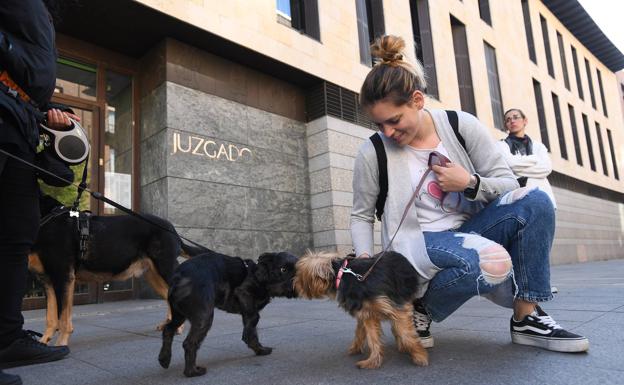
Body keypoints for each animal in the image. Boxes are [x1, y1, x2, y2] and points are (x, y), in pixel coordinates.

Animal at [28, 195, 205, 344]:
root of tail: (172, 229)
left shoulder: (63, 276)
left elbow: (63, 318)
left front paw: (61, 345)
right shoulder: (47, 280)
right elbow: (51, 317)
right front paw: (44, 342)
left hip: (165, 268)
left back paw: (178, 327)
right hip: (153, 275)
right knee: (168, 297)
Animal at [160, 249, 298, 376]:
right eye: (283, 269)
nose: (295, 283)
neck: (259, 276)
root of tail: (179, 277)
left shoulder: (246, 310)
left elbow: (253, 330)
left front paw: (259, 349)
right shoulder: (243, 293)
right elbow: (254, 320)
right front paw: (251, 340)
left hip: (179, 315)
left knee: (168, 329)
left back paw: (164, 359)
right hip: (204, 317)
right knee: (189, 343)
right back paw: (192, 372)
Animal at [294, 250, 428, 368]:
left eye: (300, 276)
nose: (294, 284)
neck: (342, 276)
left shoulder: (397, 308)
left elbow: (407, 335)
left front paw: (420, 356)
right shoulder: (367, 314)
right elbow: (373, 338)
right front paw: (373, 361)